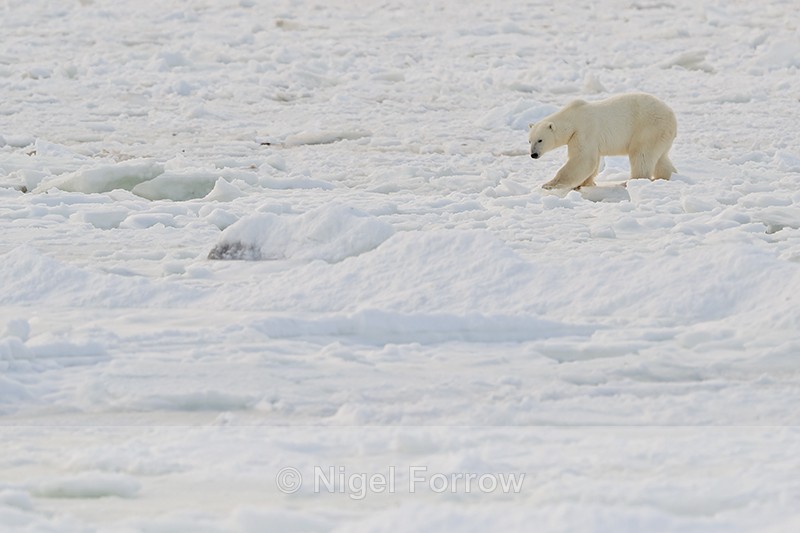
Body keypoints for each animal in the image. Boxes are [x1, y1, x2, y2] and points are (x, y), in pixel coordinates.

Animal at [528, 93, 677, 190]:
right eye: (529, 141)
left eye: (540, 140)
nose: (533, 155)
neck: (573, 118)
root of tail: (672, 116)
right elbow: (592, 161)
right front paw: (584, 183)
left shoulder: (584, 131)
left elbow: (583, 159)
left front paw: (549, 184)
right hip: (661, 134)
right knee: (661, 158)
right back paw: (665, 177)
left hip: (648, 127)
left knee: (641, 155)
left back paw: (629, 182)